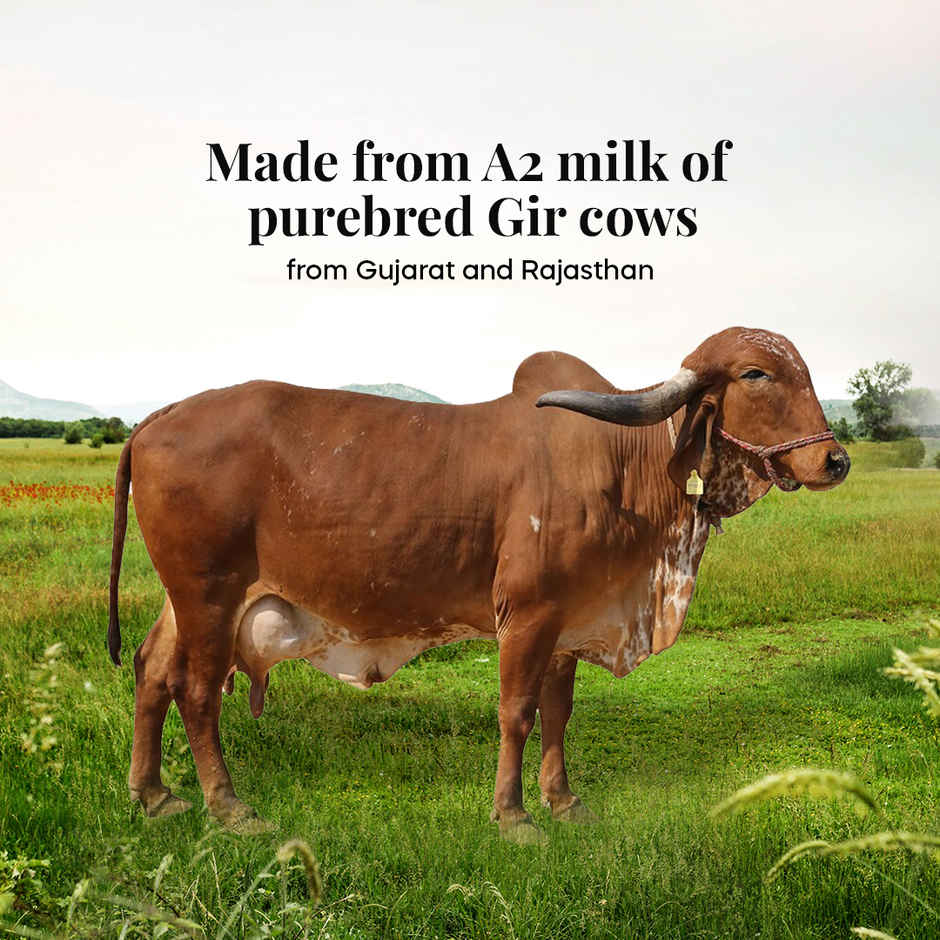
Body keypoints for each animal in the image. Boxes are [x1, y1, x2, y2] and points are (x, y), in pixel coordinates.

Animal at [108, 327, 849, 842]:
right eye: (756, 374)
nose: (835, 460)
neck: (622, 467)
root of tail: (157, 417)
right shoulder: (527, 614)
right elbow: (516, 712)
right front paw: (513, 815)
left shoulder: (571, 620)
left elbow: (557, 712)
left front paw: (563, 801)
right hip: (210, 594)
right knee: (196, 691)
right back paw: (228, 807)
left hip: (186, 598)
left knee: (151, 670)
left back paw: (153, 794)